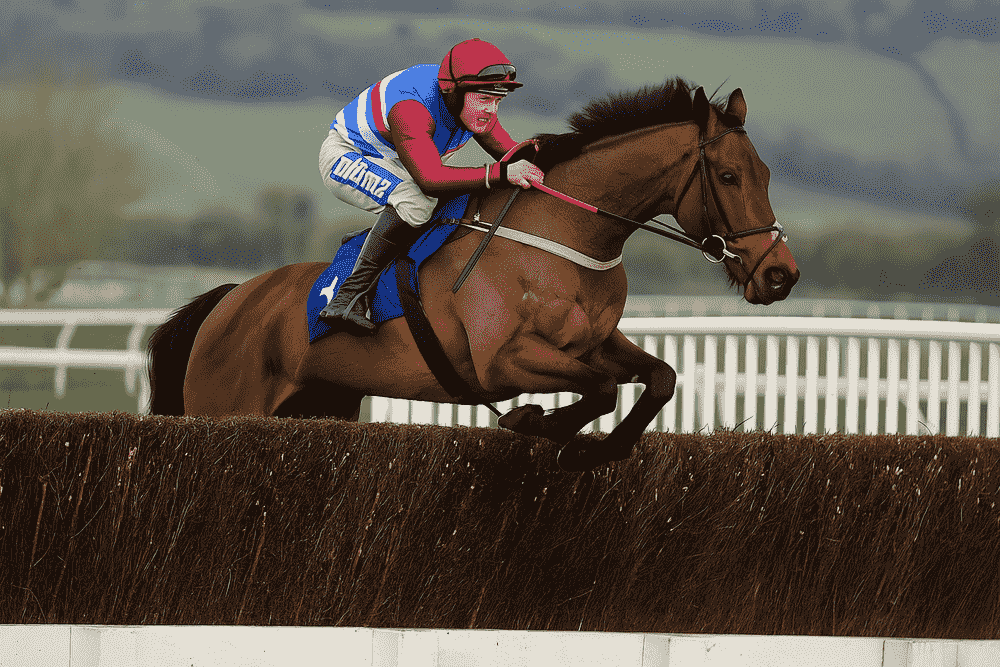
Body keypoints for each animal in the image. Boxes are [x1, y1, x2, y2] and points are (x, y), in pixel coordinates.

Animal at [147, 78, 799, 471]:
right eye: (729, 176)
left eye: (766, 173)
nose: (780, 275)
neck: (567, 236)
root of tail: (230, 299)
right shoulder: (499, 360)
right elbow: (600, 389)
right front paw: (540, 422)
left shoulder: (594, 342)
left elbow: (658, 377)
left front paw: (598, 449)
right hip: (224, 405)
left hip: (321, 405)